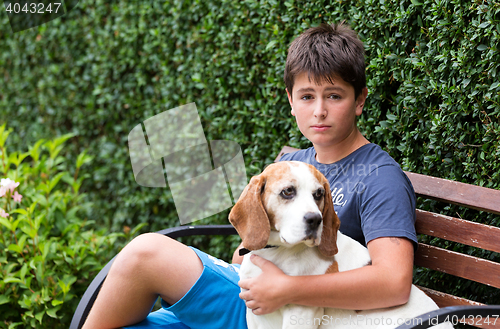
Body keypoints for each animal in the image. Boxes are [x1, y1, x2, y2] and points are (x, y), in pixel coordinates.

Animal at [229, 161, 452, 328]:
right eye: (288, 191)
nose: (315, 220)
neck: (276, 252)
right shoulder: (254, 315)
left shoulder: (301, 314)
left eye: (318, 194)